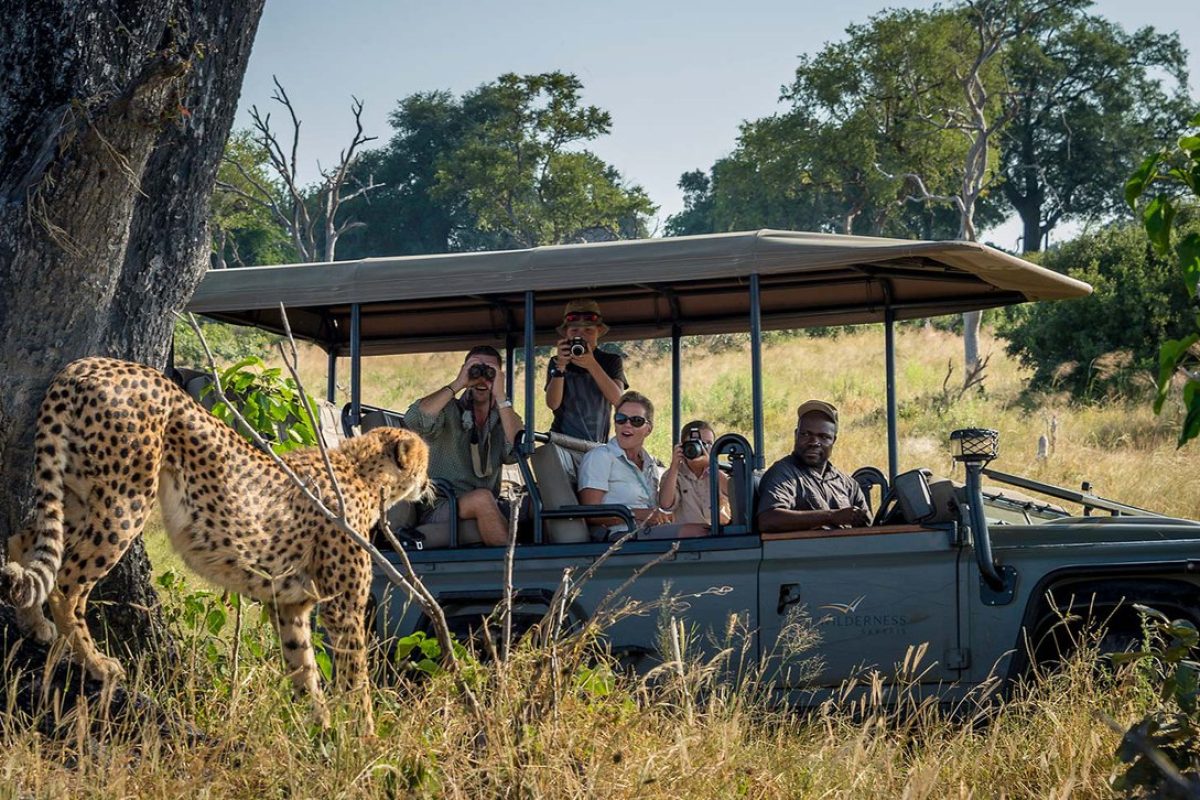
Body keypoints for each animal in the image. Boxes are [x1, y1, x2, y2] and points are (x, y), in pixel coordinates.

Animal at [0, 356, 429, 731]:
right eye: (424, 461)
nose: (429, 485)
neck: (360, 470)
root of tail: (90, 363)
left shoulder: (288, 604)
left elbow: (302, 665)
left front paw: (318, 726)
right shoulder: (343, 607)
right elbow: (355, 676)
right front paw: (363, 738)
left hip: (76, 493)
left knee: (24, 540)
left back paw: (35, 624)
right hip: (124, 502)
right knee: (65, 585)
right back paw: (97, 663)